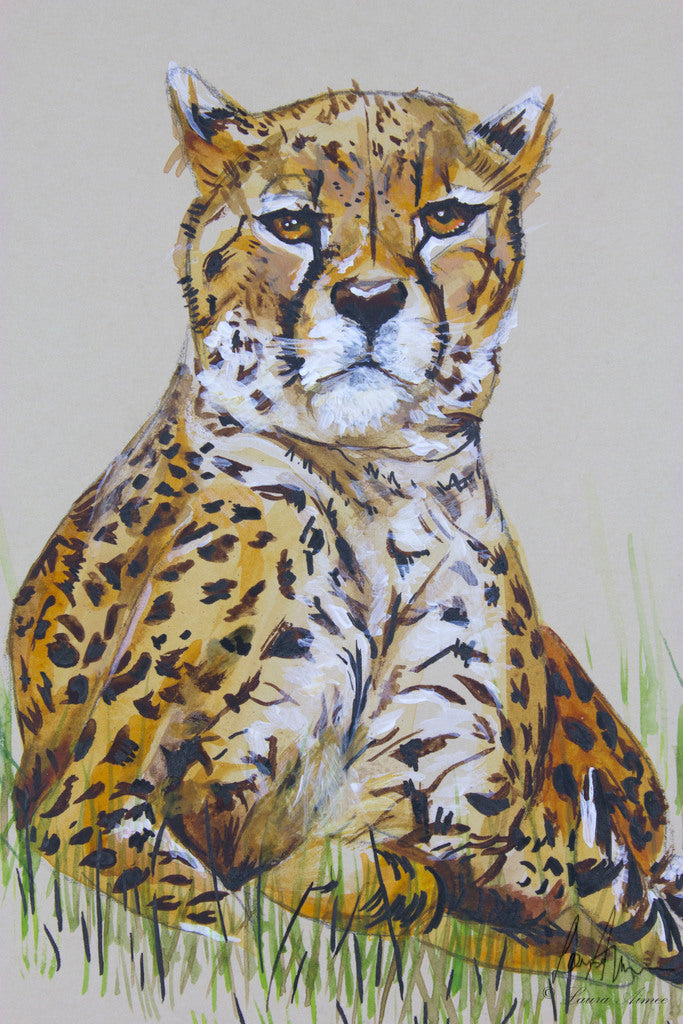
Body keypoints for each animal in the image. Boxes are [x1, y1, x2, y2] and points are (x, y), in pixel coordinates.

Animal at [9, 63, 682, 985]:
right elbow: (230, 920)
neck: (373, 484)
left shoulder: (470, 801)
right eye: (292, 223)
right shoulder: (87, 808)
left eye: (445, 217)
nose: (369, 299)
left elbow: (531, 890)